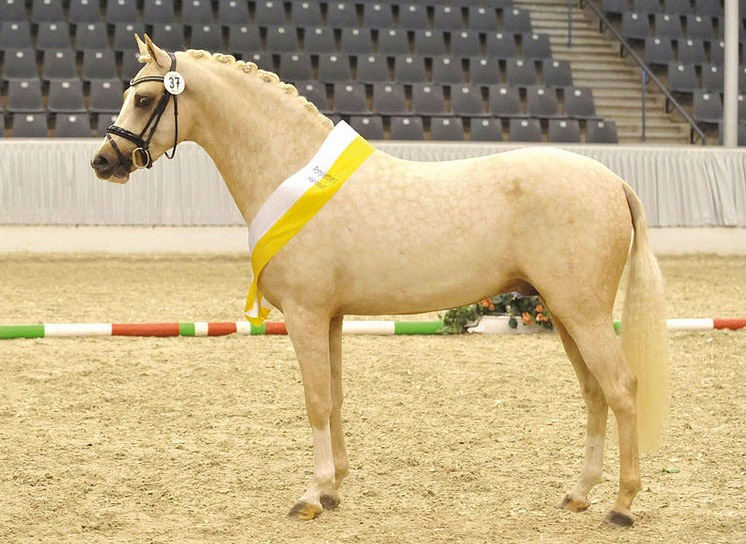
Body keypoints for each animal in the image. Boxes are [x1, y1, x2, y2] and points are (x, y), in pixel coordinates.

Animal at [93, 35, 668, 528]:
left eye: (144, 99)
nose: (103, 161)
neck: (291, 168)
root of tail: (612, 180)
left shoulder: (305, 316)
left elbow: (316, 401)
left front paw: (311, 496)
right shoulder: (330, 318)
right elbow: (335, 397)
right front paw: (333, 489)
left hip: (582, 312)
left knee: (621, 388)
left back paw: (621, 505)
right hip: (563, 311)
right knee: (594, 393)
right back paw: (579, 494)